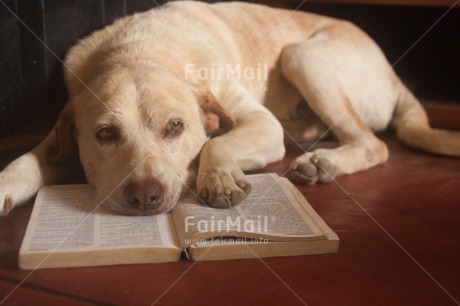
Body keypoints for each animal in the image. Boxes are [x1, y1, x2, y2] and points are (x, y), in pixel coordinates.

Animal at [0, 0, 460, 215]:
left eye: (175, 127)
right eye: (105, 135)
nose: (146, 195)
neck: (138, 50)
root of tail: (395, 75)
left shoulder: (259, 122)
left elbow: (213, 143)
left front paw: (217, 176)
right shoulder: (60, 136)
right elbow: (26, 161)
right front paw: (6, 185)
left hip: (301, 54)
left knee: (372, 143)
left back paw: (324, 162)